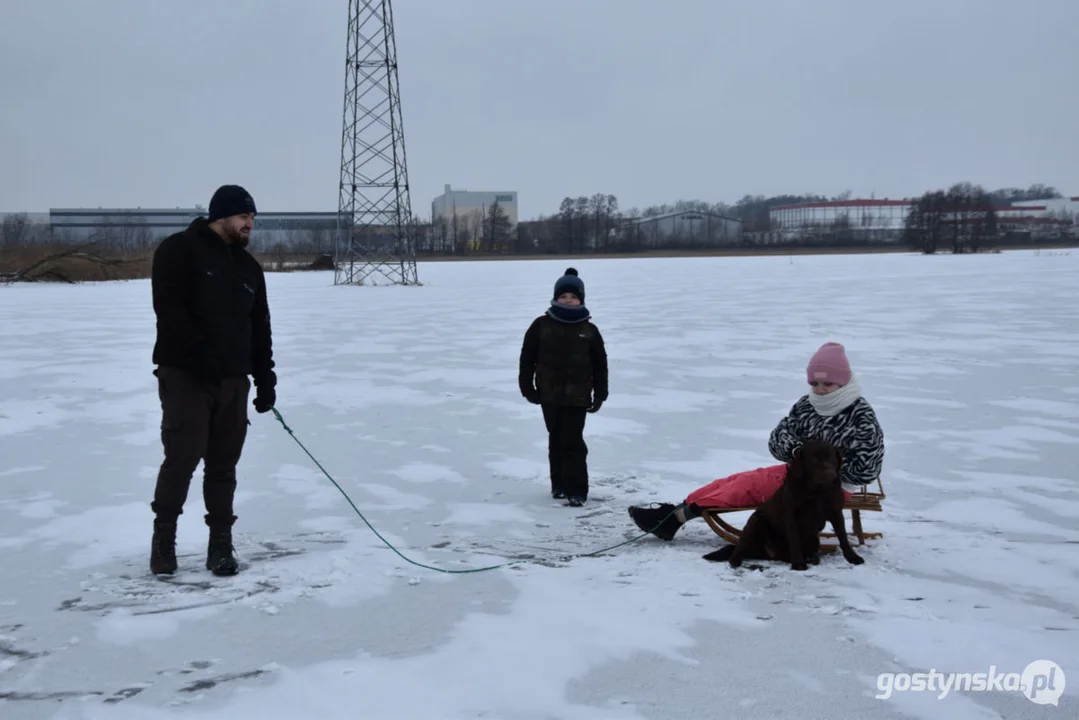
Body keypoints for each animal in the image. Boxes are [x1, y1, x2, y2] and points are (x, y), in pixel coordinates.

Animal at [703, 436, 863, 569]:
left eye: (832, 458)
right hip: (755, 521)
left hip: (814, 539)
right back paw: (736, 561)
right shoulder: (792, 516)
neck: (817, 492)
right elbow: (795, 540)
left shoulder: (836, 512)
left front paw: (853, 557)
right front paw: (798, 564)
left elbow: (843, 537)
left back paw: (812, 558)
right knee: (737, 550)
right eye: (813, 460)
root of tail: (765, 552)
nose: (830, 474)